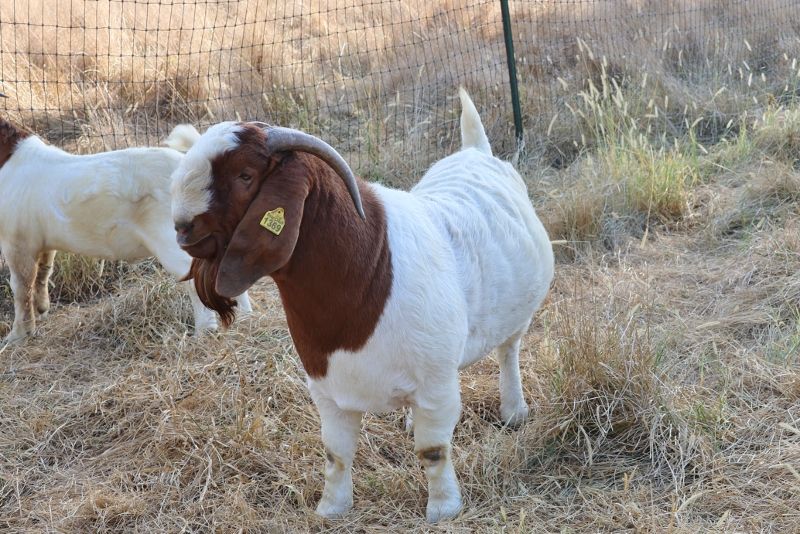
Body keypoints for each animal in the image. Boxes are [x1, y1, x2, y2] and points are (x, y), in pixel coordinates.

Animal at [0, 119, 251, 344]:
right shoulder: (41, 241)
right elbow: (43, 274)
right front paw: (42, 310)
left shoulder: (17, 242)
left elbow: (21, 287)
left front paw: (17, 336)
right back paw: (244, 320)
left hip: (174, 238)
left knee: (194, 278)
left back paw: (204, 332)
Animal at [170, 89, 554, 522]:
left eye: (245, 176)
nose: (181, 228)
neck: (369, 267)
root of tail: (475, 151)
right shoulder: (326, 390)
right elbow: (336, 454)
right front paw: (331, 509)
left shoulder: (436, 384)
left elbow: (433, 451)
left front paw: (443, 509)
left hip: (515, 320)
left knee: (509, 351)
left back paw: (514, 410)